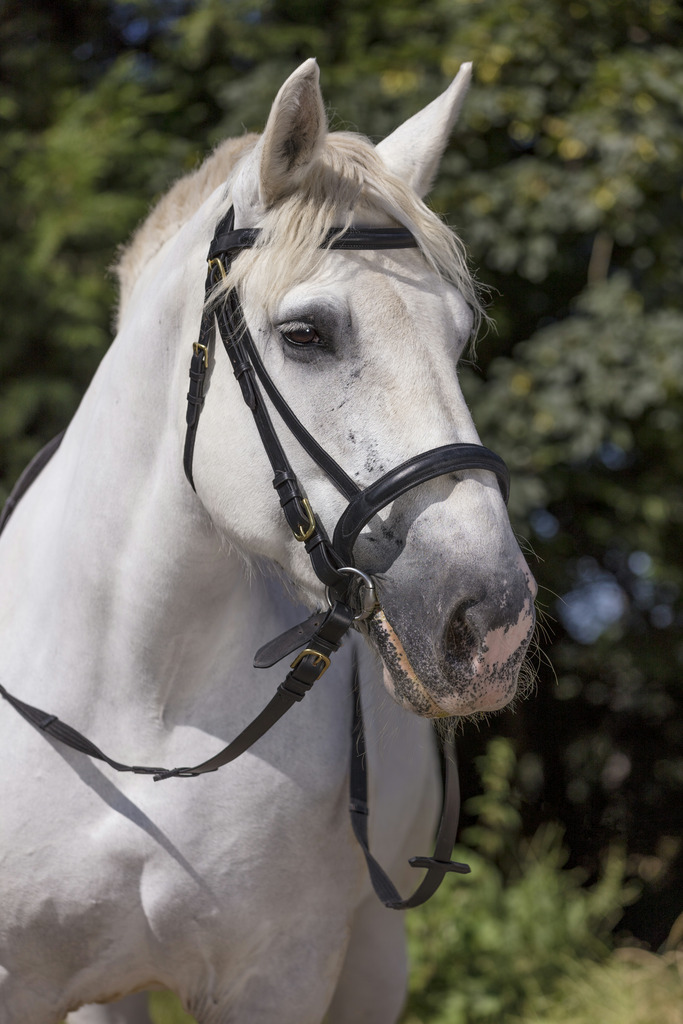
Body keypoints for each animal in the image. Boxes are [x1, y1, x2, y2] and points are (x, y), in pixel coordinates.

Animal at [0, 60, 536, 1024]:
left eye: (457, 341)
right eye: (304, 334)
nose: (492, 620)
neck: (143, 705)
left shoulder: (278, 980)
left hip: (374, 958)